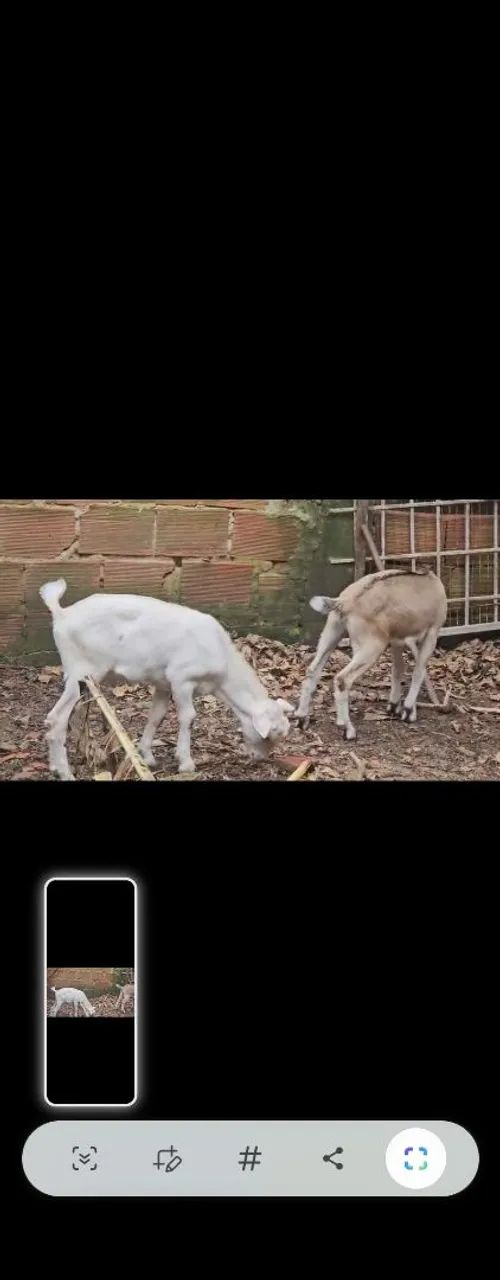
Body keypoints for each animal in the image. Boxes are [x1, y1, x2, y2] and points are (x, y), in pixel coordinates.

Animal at [39, 579, 294, 780]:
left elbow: (156, 717)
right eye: (270, 736)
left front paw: (147, 757)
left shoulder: (163, 684)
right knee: (56, 718)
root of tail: (62, 613)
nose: (258, 759)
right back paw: (64, 772)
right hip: (81, 671)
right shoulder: (182, 679)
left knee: (74, 716)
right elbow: (188, 717)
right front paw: (185, 762)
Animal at [296, 569, 448, 741]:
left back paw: (302, 718)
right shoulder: (432, 632)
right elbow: (419, 670)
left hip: (332, 632)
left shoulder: (397, 640)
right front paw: (409, 712)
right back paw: (347, 729)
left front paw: (394, 706)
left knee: (312, 670)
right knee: (343, 678)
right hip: (370, 646)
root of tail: (344, 602)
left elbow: (398, 669)